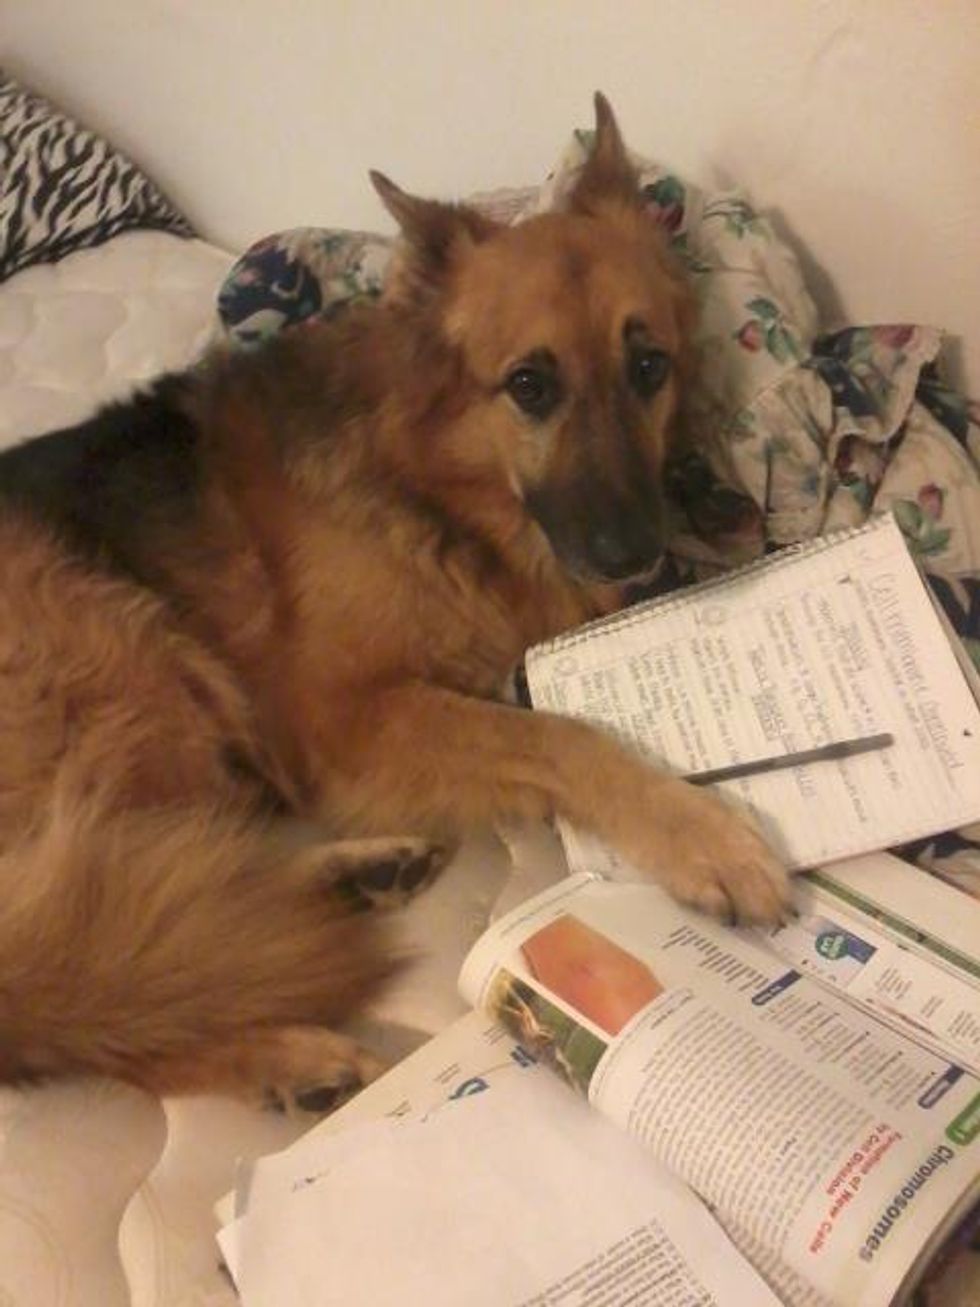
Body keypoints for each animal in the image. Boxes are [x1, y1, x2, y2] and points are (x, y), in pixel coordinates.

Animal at [0, 96, 788, 1109]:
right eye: (529, 385)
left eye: (649, 366)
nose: (635, 556)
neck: (429, 492)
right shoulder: (350, 719)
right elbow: (562, 737)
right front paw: (698, 832)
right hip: (136, 665)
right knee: (82, 964)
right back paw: (293, 1053)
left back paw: (349, 885)